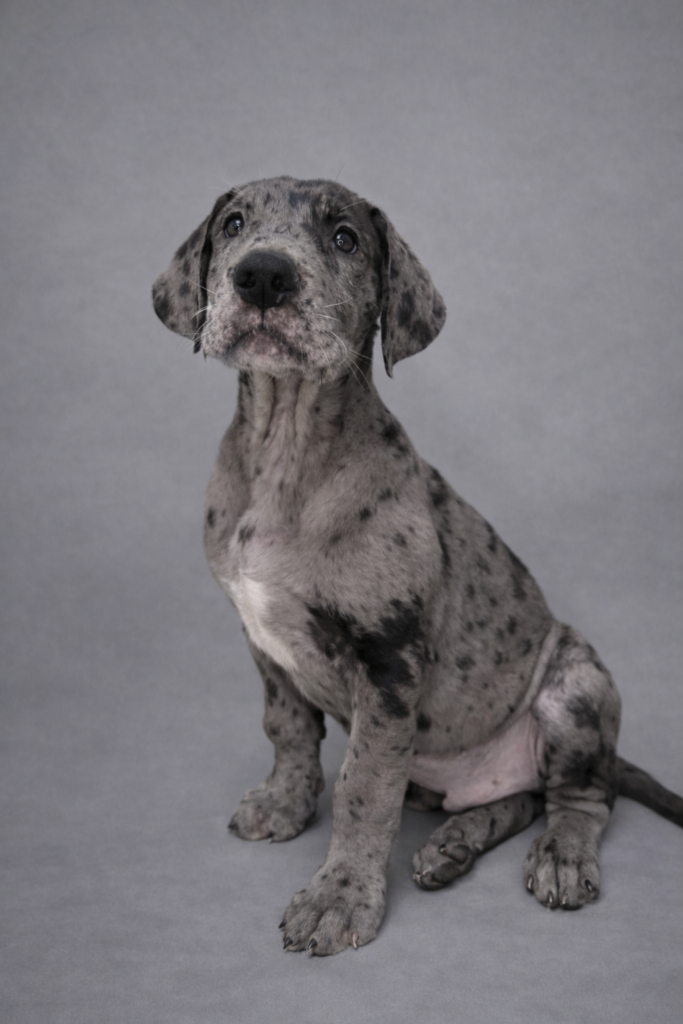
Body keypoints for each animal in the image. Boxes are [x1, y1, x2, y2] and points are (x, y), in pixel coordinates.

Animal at [152, 176, 683, 956]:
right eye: (234, 224)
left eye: (344, 237)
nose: (263, 275)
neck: (286, 446)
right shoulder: (263, 642)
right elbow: (287, 728)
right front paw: (284, 803)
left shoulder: (388, 661)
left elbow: (365, 787)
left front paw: (339, 897)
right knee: (519, 799)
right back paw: (453, 845)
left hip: (577, 685)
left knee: (582, 796)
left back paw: (560, 856)